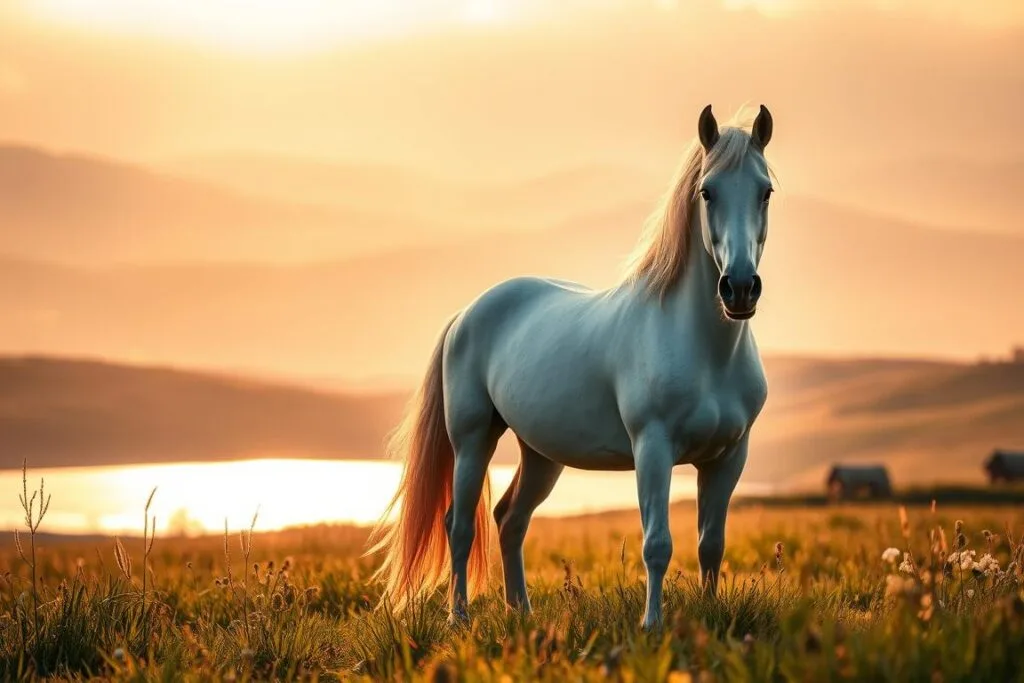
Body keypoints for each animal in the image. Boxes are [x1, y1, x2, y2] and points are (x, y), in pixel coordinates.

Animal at [368, 104, 775, 629]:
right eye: (708, 191)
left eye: (765, 191)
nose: (739, 288)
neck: (707, 353)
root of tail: (466, 314)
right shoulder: (654, 448)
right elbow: (657, 544)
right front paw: (652, 625)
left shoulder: (728, 457)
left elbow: (711, 545)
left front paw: (707, 618)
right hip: (472, 440)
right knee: (458, 526)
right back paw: (459, 617)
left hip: (541, 455)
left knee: (510, 520)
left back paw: (521, 610)